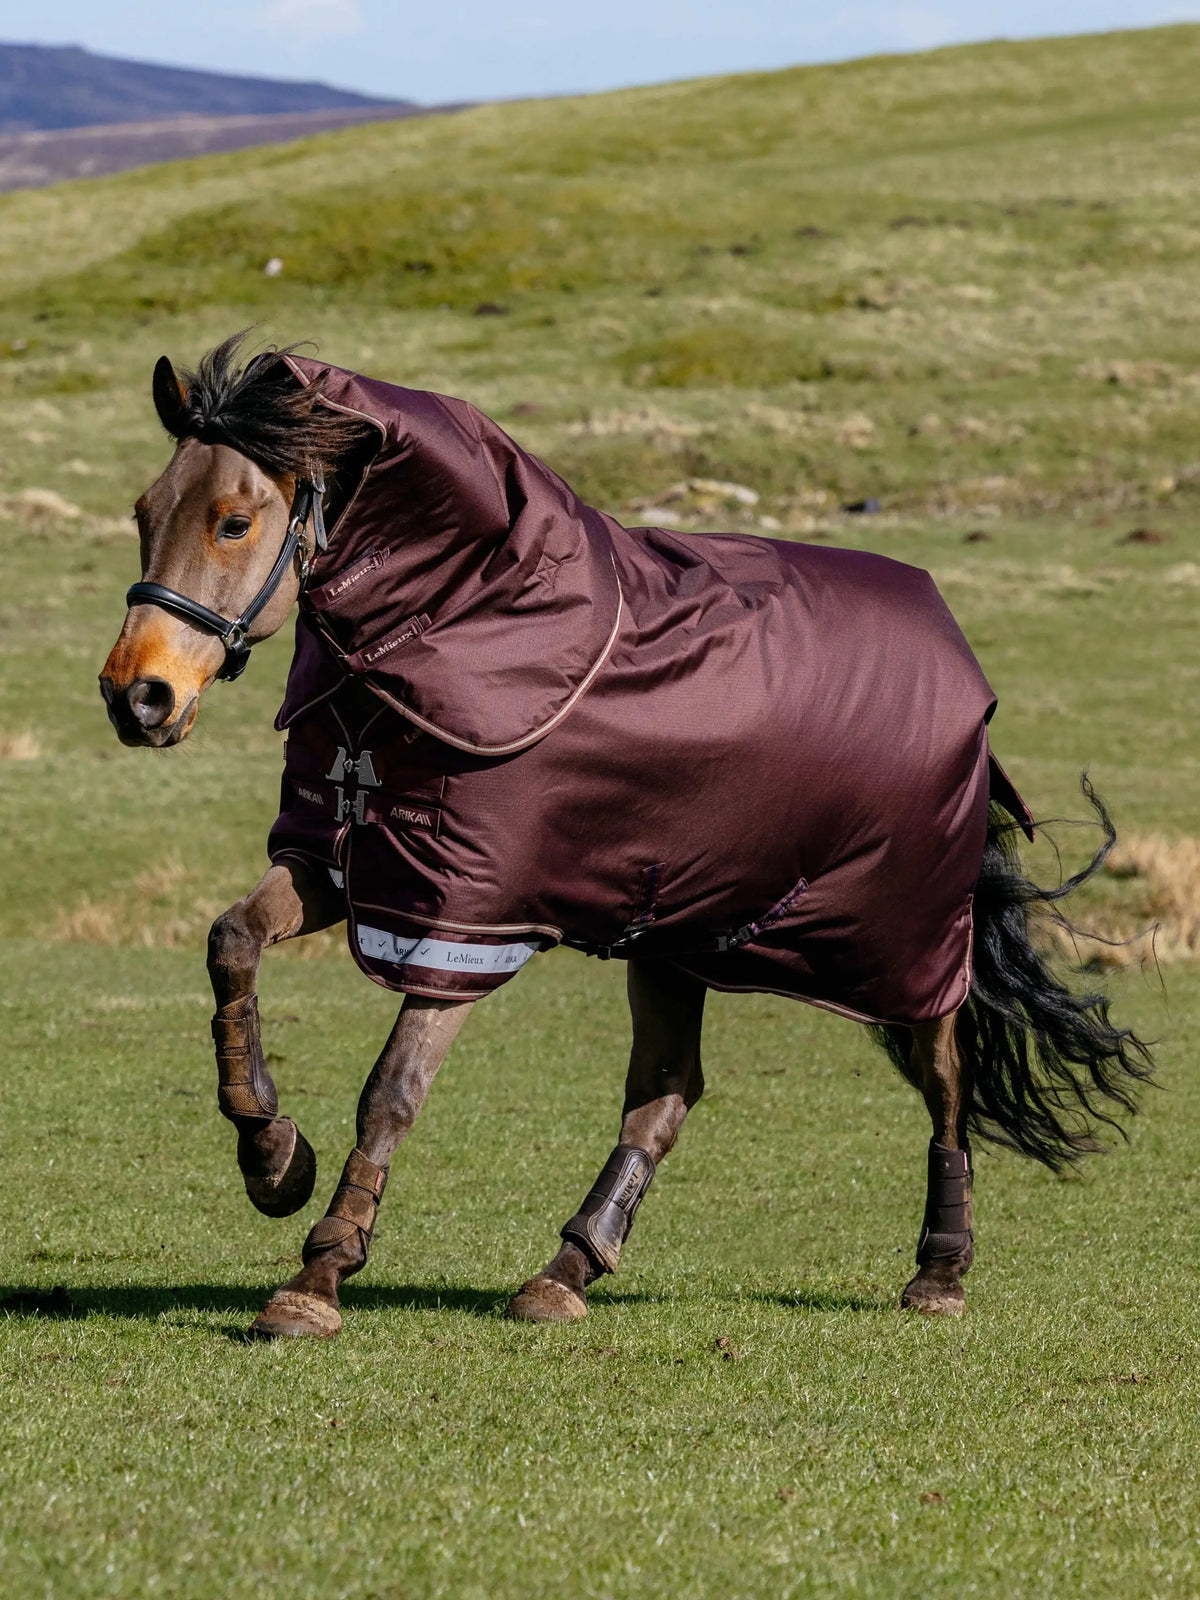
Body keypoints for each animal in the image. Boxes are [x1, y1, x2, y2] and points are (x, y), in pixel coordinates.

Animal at [99, 333, 1152, 1340]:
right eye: (146, 511)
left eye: (233, 522)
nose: (136, 696)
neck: (452, 631)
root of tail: (965, 668)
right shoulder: (349, 864)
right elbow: (232, 942)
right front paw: (272, 1156)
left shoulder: (466, 922)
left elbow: (392, 1090)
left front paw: (316, 1278)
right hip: (677, 933)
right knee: (666, 1092)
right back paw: (565, 1272)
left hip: (907, 943)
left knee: (945, 1081)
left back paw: (938, 1272)